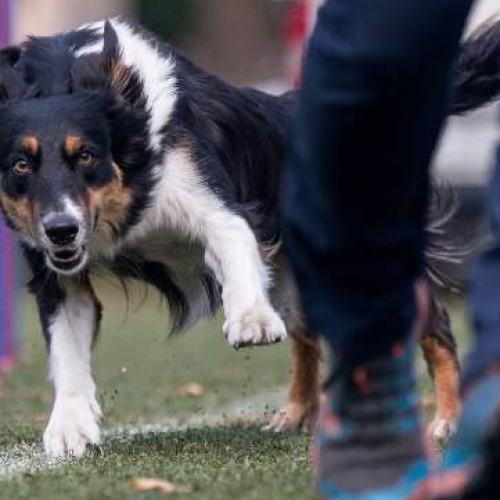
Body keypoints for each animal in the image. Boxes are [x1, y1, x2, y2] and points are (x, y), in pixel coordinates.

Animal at [0, 19, 498, 458]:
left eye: (86, 155)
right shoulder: (57, 274)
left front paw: (250, 320)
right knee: (307, 336)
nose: (61, 230)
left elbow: (232, 241)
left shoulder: (210, 196)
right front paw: (70, 428)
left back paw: (447, 420)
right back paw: (297, 413)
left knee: (434, 325)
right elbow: (66, 347)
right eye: (20, 164)